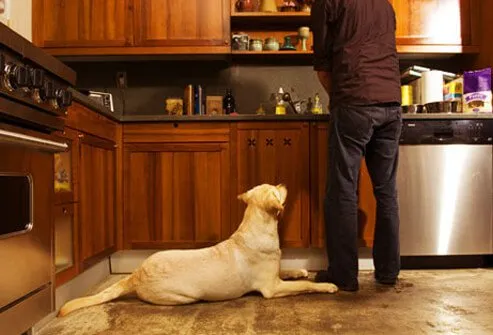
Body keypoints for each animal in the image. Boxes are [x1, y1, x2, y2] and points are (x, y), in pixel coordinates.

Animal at [56, 184, 334, 318]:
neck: (258, 226)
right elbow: (305, 286)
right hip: (183, 297)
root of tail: (136, 274)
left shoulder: (276, 275)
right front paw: (327, 286)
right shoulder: (272, 288)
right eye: (276, 190)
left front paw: (300, 270)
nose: (283, 183)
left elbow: (289, 271)